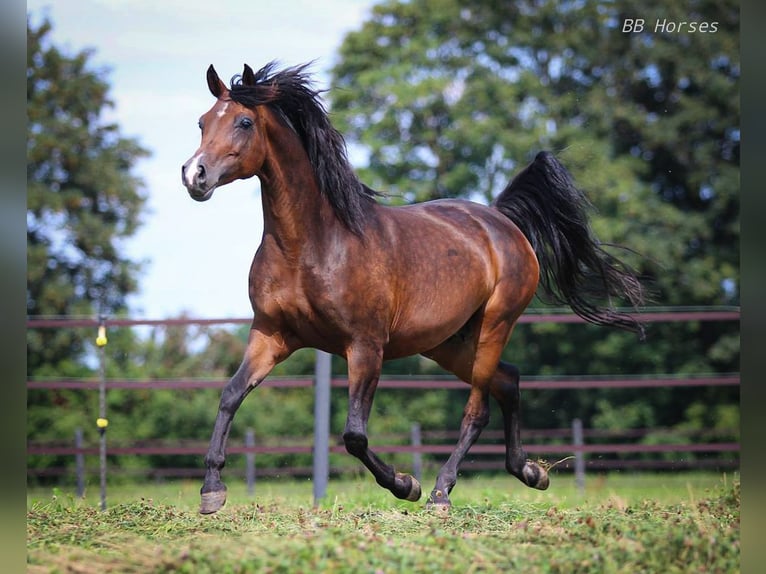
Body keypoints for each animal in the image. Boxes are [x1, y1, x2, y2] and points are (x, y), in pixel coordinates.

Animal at [183, 60, 644, 516]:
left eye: (244, 122)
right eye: (202, 122)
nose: (194, 175)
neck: (312, 245)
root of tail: (501, 221)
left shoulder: (365, 345)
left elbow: (354, 435)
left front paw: (405, 484)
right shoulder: (271, 335)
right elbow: (230, 395)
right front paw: (212, 489)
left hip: (495, 326)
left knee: (478, 409)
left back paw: (441, 491)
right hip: (448, 343)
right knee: (509, 381)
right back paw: (531, 472)